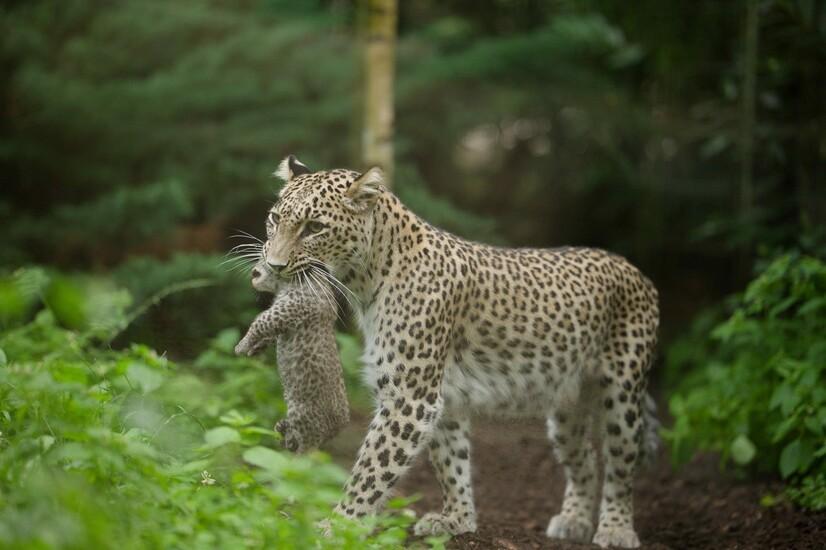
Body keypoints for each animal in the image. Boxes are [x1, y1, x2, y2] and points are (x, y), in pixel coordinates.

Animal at [234, 241, 349, 454]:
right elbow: (270, 334)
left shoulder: (285, 310)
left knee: (303, 451)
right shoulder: (284, 319)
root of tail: (339, 427)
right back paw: (281, 428)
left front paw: (242, 345)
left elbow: (260, 322)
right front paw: (256, 348)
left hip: (303, 414)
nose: (253, 270)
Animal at [263, 154, 660, 548]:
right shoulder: (444, 397)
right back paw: (574, 520)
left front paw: (336, 526)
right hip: (567, 408)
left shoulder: (409, 398)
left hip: (623, 392)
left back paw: (616, 529)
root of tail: (634, 269)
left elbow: (371, 468)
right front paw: (456, 520)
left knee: (621, 463)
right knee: (585, 459)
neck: (366, 279)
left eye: (314, 227)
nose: (273, 266)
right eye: (275, 219)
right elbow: (451, 460)